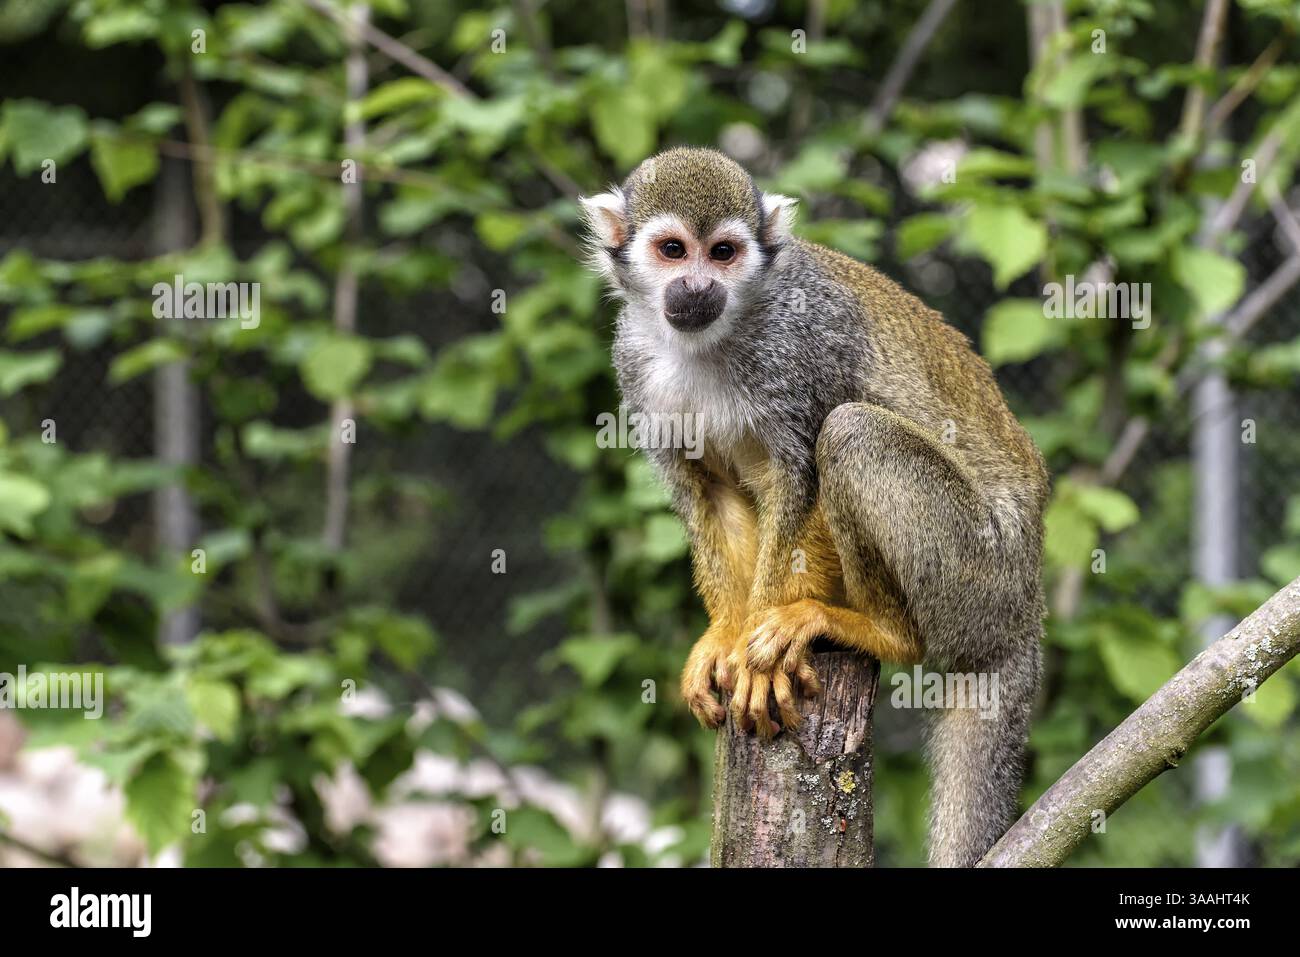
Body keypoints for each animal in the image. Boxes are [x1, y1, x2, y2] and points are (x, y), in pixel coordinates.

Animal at [581, 147, 1048, 868]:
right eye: (671, 250)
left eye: (723, 252)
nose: (696, 287)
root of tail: (1027, 605)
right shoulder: (633, 364)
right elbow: (707, 492)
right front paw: (727, 637)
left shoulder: (801, 346)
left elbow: (799, 478)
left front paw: (764, 647)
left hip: (979, 573)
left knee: (852, 432)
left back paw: (873, 629)